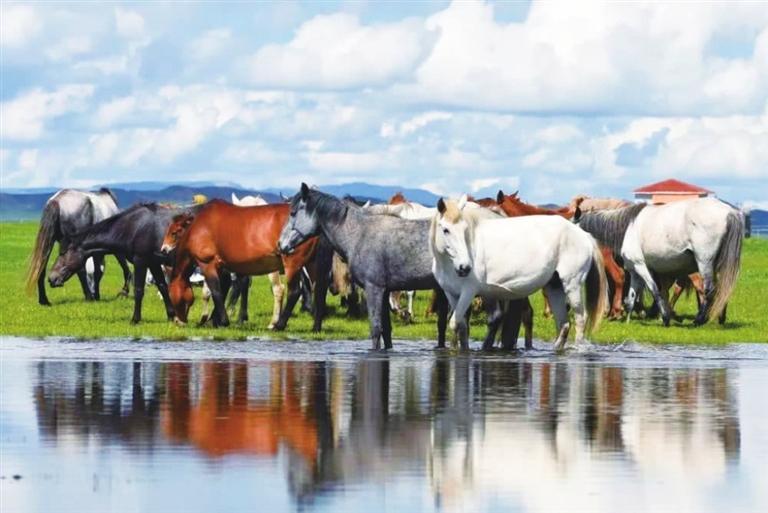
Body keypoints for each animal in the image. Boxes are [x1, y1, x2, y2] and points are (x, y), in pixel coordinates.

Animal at [47, 203, 189, 324]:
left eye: (63, 253)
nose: (51, 278)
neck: (135, 227)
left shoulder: (140, 262)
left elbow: (138, 290)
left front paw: (135, 319)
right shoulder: (153, 263)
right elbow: (163, 287)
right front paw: (171, 316)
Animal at [167, 200, 329, 330]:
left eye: (174, 232)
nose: (178, 321)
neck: (199, 227)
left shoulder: (207, 264)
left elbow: (216, 291)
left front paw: (222, 321)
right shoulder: (222, 267)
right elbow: (223, 290)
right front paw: (215, 320)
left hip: (293, 263)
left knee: (294, 292)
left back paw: (279, 325)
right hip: (311, 263)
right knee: (319, 290)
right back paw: (316, 326)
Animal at [278, 184, 451, 350]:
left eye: (293, 213)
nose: (280, 244)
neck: (359, 234)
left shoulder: (374, 289)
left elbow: (376, 329)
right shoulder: (385, 291)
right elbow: (386, 332)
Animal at [431, 196, 608, 350]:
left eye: (466, 230)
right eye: (445, 230)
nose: (465, 267)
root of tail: (583, 234)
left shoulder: (469, 292)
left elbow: (454, 323)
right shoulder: (451, 293)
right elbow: (461, 326)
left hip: (573, 285)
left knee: (580, 319)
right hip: (554, 287)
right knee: (563, 324)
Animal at [574, 198, 742, 326]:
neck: (628, 227)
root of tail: (730, 212)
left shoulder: (641, 266)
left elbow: (654, 289)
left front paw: (665, 318)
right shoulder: (634, 271)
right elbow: (632, 296)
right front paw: (627, 320)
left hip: (704, 263)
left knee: (709, 290)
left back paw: (699, 320)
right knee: (720, 289)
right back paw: (718, 317)